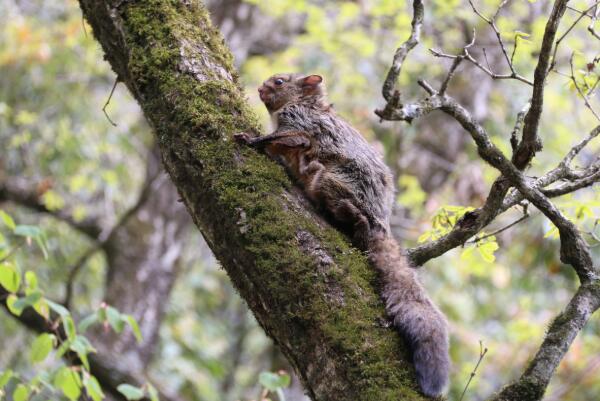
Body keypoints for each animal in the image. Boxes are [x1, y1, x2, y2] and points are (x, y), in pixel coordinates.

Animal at [234, 72, 450, 396]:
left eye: (280, 82)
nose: (260, 87)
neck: (306, 104)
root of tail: (380, 222)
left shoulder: (298, 124)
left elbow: (287, 138)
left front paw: (251, 139)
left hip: (330, 181)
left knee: (353, 216)